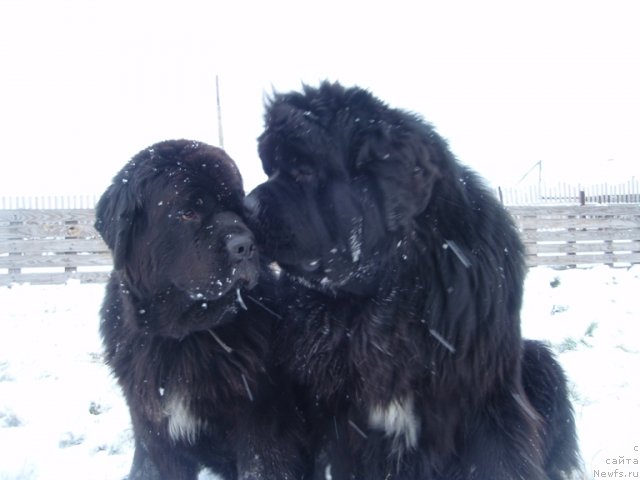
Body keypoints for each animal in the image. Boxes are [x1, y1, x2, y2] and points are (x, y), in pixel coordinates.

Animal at [94, 140, 306, 480]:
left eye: (238, 209)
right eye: (187, 212)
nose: (246, 245)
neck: (186, 337)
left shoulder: (261, 427)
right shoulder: (155, 433)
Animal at [244, 83, 580, 480]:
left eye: (303, 169)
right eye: (270, 169)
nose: (245, 207)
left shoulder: (487, 399)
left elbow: (499, 460)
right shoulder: (332, 412)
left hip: (541, 364)